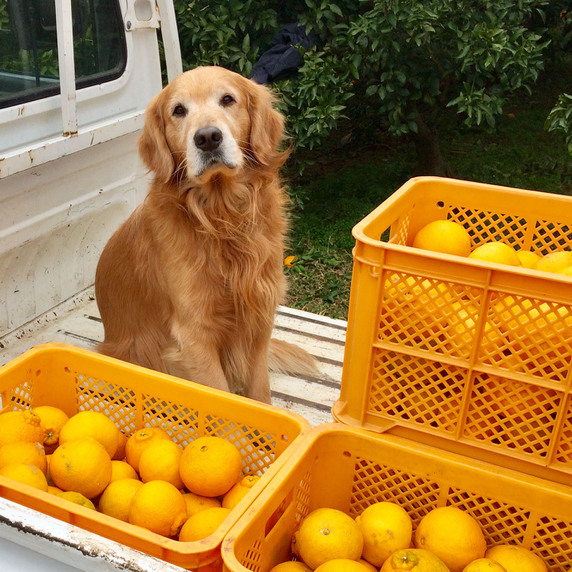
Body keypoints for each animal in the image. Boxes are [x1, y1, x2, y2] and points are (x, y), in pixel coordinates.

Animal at [94, 65, 318, 402]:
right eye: (178, 110)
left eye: (227, 99)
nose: (208, 137)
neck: (222, 218)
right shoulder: (194, 335)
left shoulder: (259, 319)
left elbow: (260, 393)